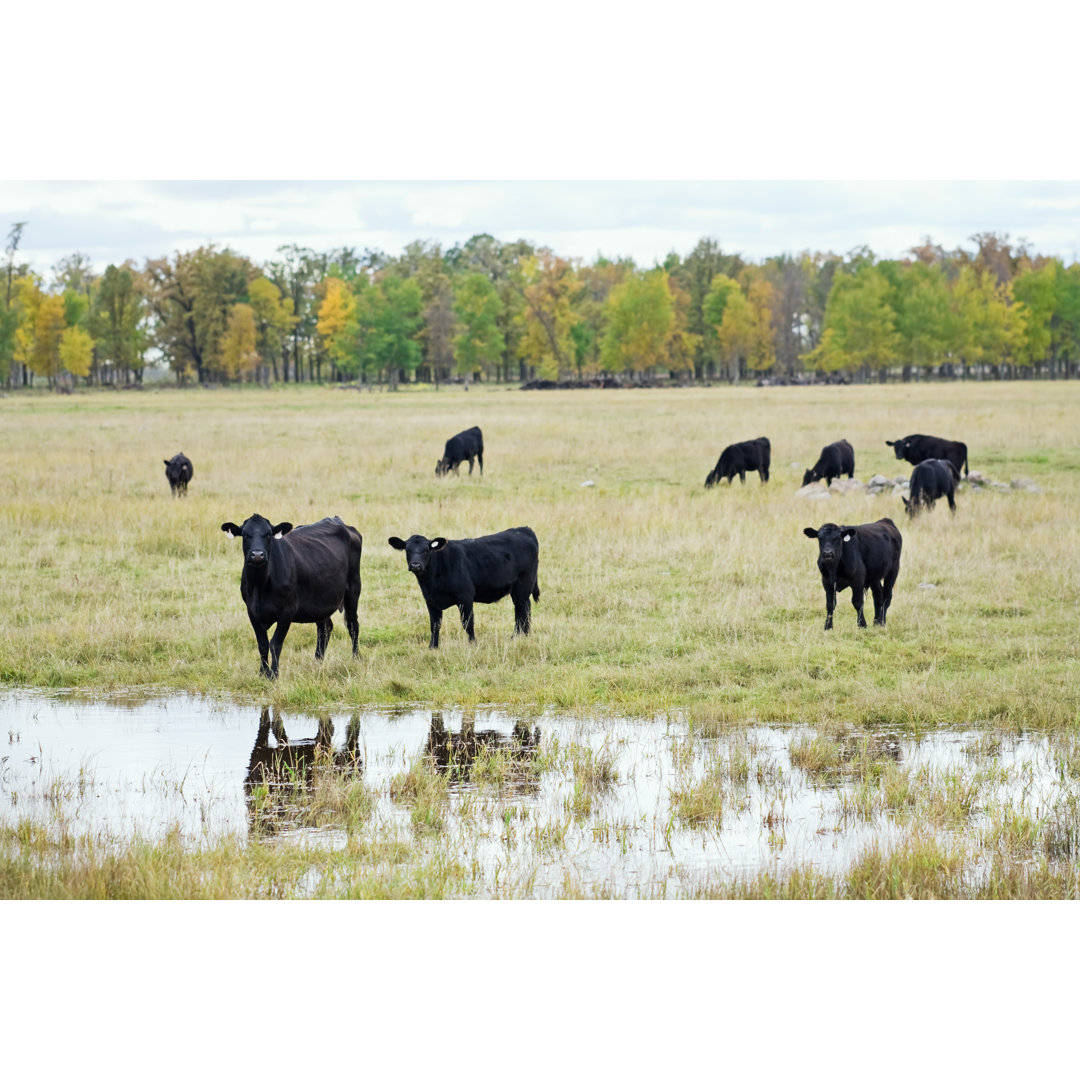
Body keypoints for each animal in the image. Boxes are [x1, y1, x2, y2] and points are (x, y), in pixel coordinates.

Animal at [220, 511, 362, 678]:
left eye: (268, 535)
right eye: (245, 535)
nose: (257, 555)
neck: (260, 586)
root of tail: (338, 521)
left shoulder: (287, 610)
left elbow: (275, 643)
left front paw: (273, 674)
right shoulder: (252, 611)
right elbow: (262, 644)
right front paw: (262, 673)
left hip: (353, 589)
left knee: (353, 626)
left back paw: (355, 659)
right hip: (321, 602)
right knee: (324, 629)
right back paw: (317, 662)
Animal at [388, 524, 540, 643]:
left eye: (426, 550)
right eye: (407, 550)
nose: (415, 565)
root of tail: (524, 529)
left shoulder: (465, 598)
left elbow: (468, 623)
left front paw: (472, 644)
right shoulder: (430, 600)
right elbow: (435, 625)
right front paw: (433, 647)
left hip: (523, 586)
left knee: (523, 611)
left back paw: (518, 637)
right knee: (522, 611)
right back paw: (521, 637)